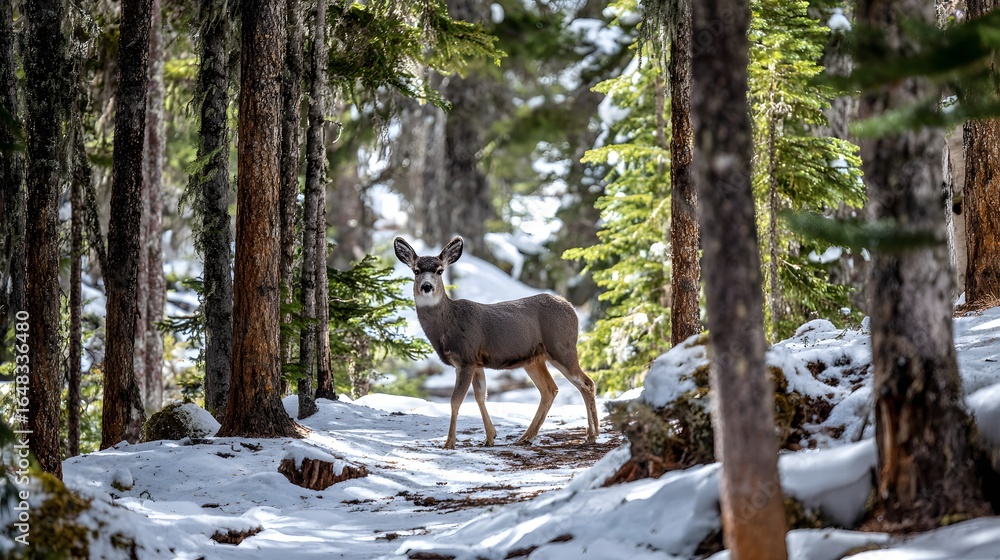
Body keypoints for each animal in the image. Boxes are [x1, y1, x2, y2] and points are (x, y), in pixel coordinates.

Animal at [394, 236, 600, 449]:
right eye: (416, 270)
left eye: (439, 270)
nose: (427, 287)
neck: (448, 324)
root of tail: (573, 309)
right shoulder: (476, 363)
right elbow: (480, 396)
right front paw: (490, 437)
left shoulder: (466, 358)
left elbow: (455, 401)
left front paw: (449, 443)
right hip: (535, 359)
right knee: (550, 389)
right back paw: (527, 436)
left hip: (562, 347)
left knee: (586, 383)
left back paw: (591, 435)